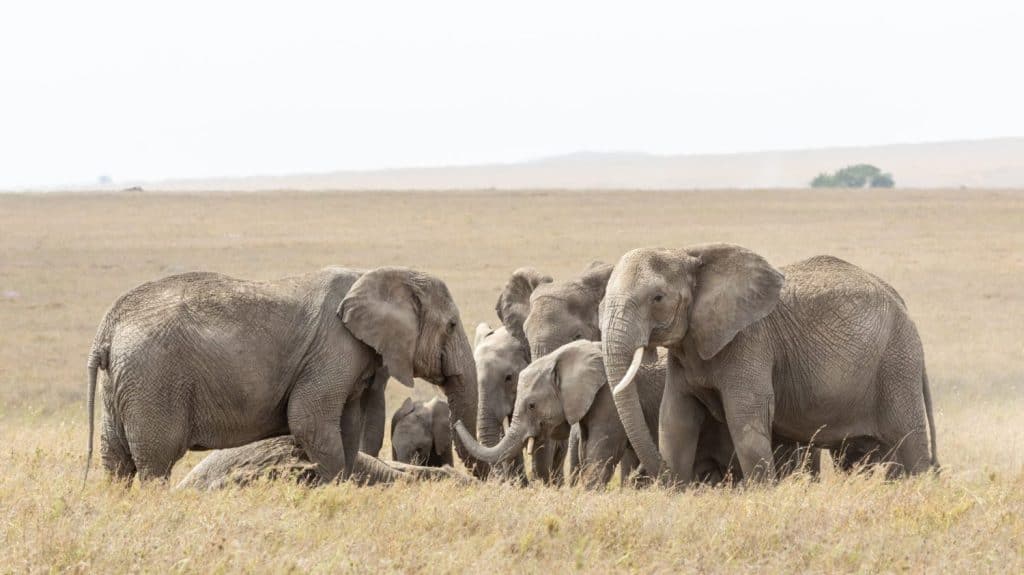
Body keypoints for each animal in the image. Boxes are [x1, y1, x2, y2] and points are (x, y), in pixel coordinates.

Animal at [84, 266, 483, 484]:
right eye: (451, 324)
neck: (377, 273)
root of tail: (108, 327)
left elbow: (347, 427)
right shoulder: (334, 350)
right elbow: (309, 421)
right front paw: (330, 490)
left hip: (123, 382)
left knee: (115, 460)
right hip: (153, 380)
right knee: (155, 461)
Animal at [601, 246, 939, 484]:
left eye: (657, 298)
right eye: (602, 302)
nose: (661, 477)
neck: (687, 254)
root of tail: (901, 303)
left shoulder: (750, 342)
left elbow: (746, 419)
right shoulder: (685, 352)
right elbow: (675, 419)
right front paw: (676, 493)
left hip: (897, 363)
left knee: (909, 443)